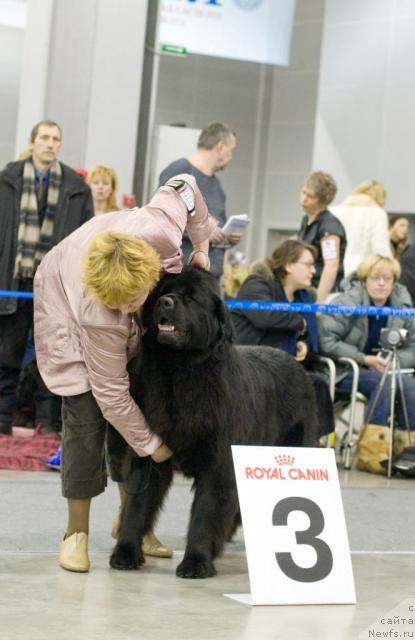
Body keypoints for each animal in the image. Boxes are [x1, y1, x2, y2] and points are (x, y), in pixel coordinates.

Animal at [108, 268, 318, 576]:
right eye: (163, 292)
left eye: (192, 298)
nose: (165, 303)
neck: (181, 373)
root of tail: (298, 365)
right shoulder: (149, 452)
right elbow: (137, 505)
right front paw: (125, 552)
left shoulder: (218, 462)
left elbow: (206, 512)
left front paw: (196, 561)